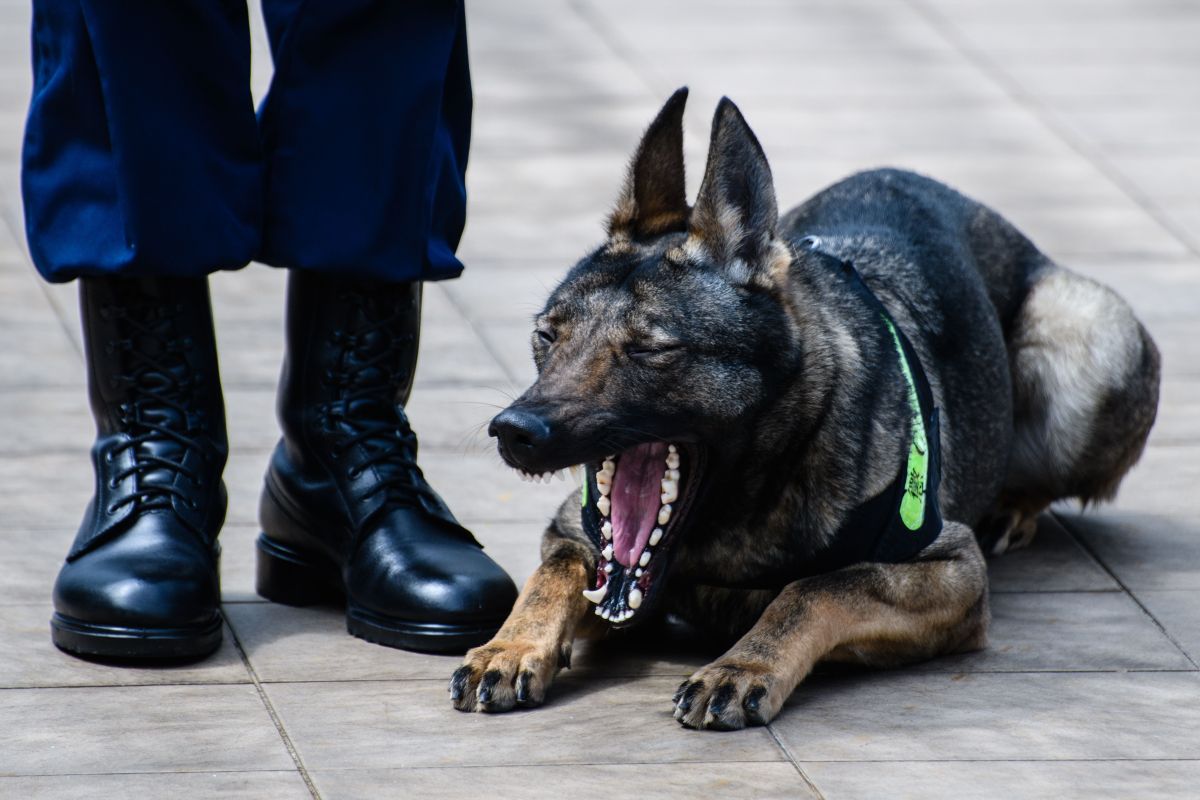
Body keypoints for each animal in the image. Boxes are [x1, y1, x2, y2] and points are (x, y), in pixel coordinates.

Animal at [446, 89, 1156, 734]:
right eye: (547, 336)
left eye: (650, 349)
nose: (515, 432)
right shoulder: (574, 532)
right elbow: (556, 570)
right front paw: (511, 645)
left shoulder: (953, 570)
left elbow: (813, 589)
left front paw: (743, 665)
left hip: (1088, 337)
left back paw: (1013, 505)